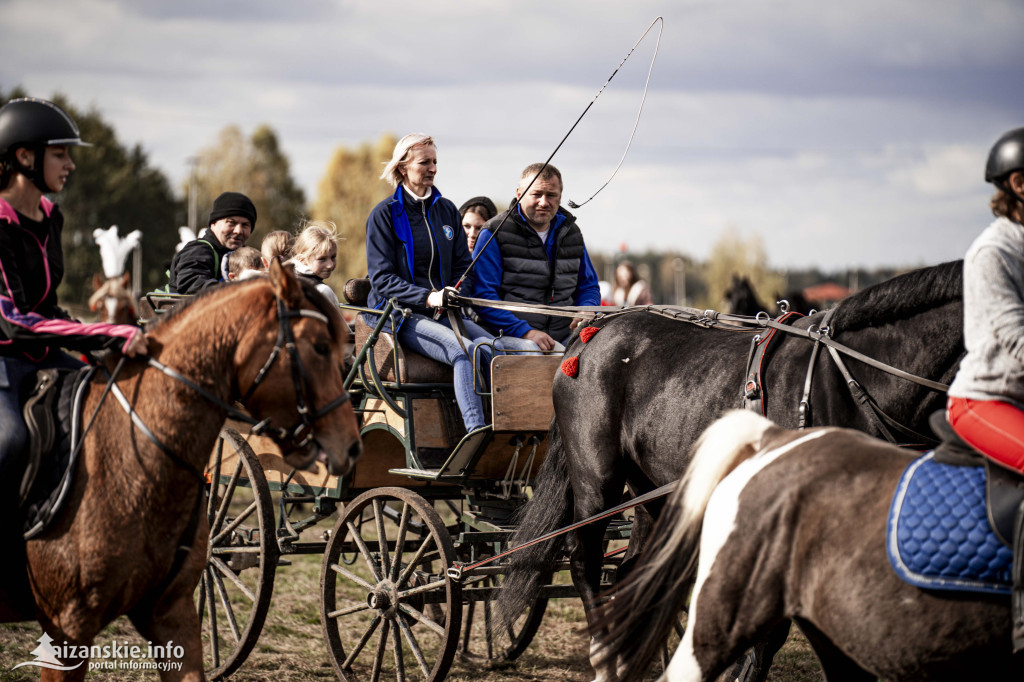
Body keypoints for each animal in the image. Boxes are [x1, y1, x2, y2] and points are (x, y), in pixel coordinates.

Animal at [495, 258, 966, 671]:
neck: (849, 375)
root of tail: (593, 332)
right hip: (597, 481)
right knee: (586, 564)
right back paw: (605, 657)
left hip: (652, 491)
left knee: (636, 573)